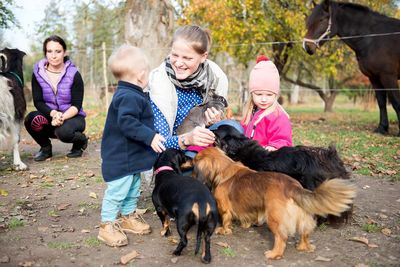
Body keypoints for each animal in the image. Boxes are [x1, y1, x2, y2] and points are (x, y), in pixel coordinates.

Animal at [192, 148, 354, 260]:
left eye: (194, 163)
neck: (224, 169)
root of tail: (292, 186)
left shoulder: (224, 207)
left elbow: (226, 220)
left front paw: (224, 230)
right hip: (302, 216)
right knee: (305, 232)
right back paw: (304, 247)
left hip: (274, 218)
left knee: (282, 238)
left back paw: (274, 254)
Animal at [304, 0, 398, 136]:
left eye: (321, 19)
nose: (307, 46)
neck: (373, 38)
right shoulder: (374, 77)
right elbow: (381, 102)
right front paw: (382, 128)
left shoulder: (388, 76)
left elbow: (395, 101)